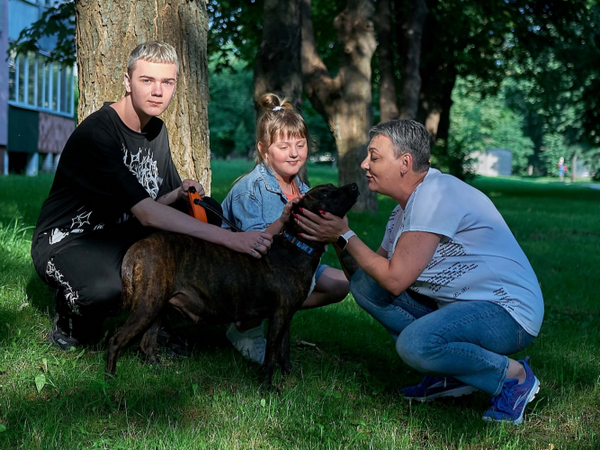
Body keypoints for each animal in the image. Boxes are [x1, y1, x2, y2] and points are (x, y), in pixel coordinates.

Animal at [105, 183, 358, 386]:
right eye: (326, 193)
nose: (354, 186)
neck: (297, 245)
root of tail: (140, 245)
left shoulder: (286, 316)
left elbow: (283, 352)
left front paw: (289, 377)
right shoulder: (278, 316)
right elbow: (271, 355)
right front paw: (268, 387)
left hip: (158, 307)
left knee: (147, 343)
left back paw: (158, 370)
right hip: (148, 305)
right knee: (116, 340)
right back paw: (110, 378)